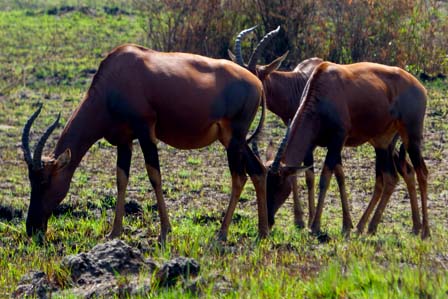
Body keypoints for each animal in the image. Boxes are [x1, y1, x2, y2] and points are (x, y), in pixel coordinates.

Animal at [21, 43, 270, 244]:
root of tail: (257, 83)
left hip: (235, 138)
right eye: (30, 180)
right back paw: (262, 233)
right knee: (258, 170)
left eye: (44, 181)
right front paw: (114, 232)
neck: (117, 75)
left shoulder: (145, 131)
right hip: (233, 140)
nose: (32, 228)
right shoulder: (124, 140)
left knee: (239, 177)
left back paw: (222, 234)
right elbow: (121, 179)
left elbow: (154, 176)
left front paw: (165, 231)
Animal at [264, 61, 428, 239]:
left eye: (279, 183)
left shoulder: (337, 141)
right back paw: (372, 227)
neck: (322, 85)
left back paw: (424, 231)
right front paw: (346, 225)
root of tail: (419, 86)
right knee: (392, 177)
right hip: (383, 143)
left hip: (411, 137)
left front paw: (315, 226)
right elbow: (337, 176)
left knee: (421, 173)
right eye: (266, 183)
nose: (269, 220)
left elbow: (325, 178)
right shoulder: (322, 145)